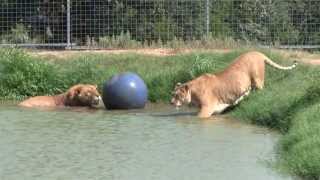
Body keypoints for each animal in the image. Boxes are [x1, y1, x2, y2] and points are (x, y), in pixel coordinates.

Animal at [170, 50, 298, 118]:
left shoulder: (207, 108)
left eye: (177, 95)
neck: (193, 93)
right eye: (172, 94)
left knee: (261, 90)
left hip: (257, 79)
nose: (171, 102)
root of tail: (259, 53)